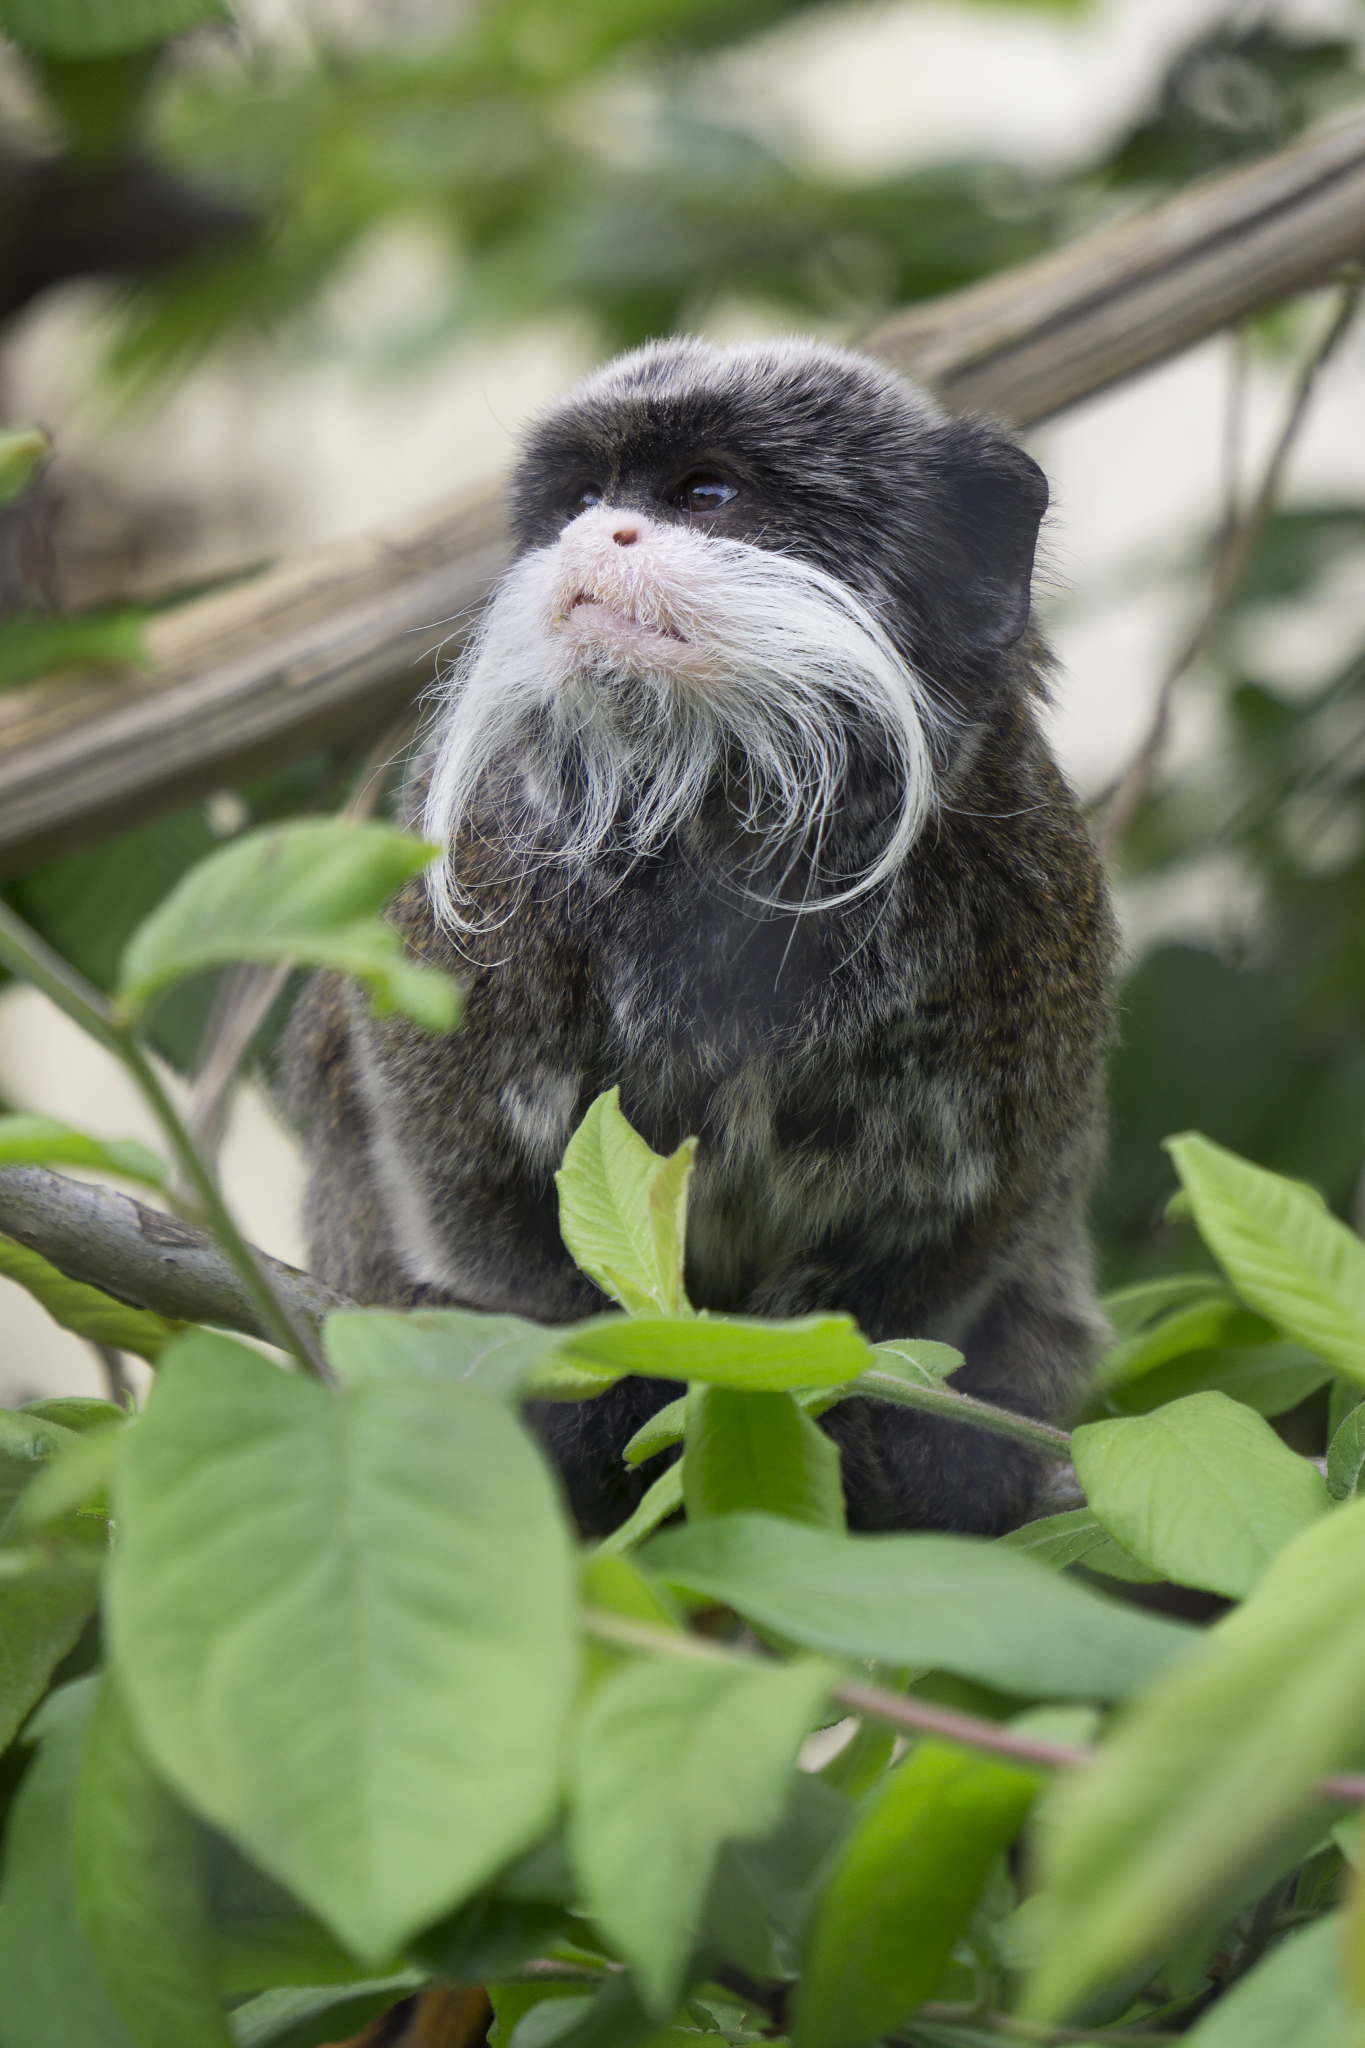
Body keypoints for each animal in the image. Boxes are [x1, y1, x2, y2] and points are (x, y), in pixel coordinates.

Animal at [281, 336, 1117, 1540]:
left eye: (704, 494)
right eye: (585, 502)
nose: (595, 540)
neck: (732, 823)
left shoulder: (1031, 900)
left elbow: (967, 1219)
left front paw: (873, 1417)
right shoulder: (484, 867)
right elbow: (459, 1168)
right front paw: (598, 1389)